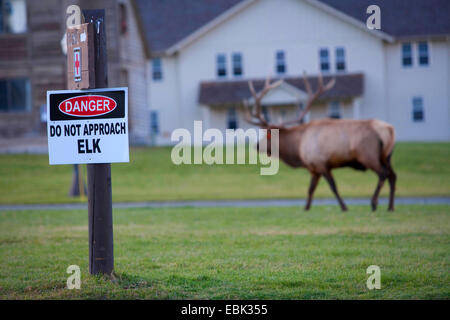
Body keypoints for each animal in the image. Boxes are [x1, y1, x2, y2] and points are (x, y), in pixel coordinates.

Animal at [244, 74, 396, 211]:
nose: (256, 145)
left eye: (268, 134)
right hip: (386, 157)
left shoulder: (321, 164)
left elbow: (333, 186)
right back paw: (390, 207)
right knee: (393, 175)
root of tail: (388, 130)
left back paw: (374, 203)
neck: (298, 150)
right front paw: (306, 208)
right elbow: (310, 189)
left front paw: (344, 207)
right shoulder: (314, 169)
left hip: (368, 155)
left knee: (383, 174)